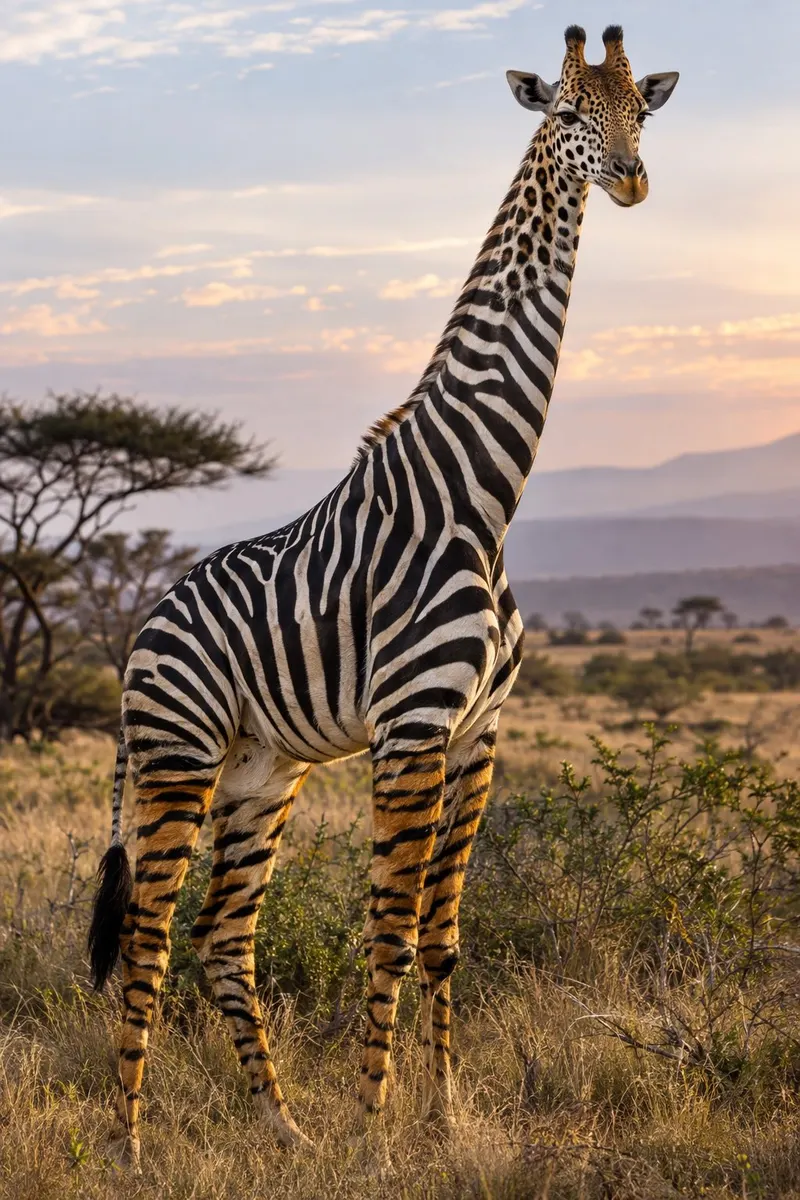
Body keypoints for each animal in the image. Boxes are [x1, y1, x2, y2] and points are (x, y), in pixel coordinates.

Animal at [88, 23, 678, 1166]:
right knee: (146, 936)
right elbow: (390, 938)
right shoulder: (411, 731)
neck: (478, 495)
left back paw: (285, 1128)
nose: (631, 180)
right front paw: (378, 1132)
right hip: (177, 761)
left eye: (643, 112)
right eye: (567, 116)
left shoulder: (479, 732)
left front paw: (438, 1117)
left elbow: (441, 941)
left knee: (224, 940)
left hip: (261, 773)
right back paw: (130, 1146)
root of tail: (141, 625)